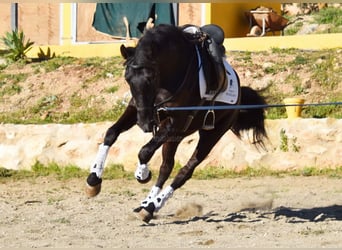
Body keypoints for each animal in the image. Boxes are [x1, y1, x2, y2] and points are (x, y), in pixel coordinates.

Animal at [85, 23, 268, 223]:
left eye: (150, 77)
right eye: (127, 78)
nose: (144, 124)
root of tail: (240, 92)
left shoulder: (175, 120)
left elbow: (144, 151)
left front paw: (142, 174)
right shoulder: (137, 109)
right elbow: (111, 133)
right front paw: (93, 180)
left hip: (210, 134)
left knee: (185, 171)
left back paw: (152, 205)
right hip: (177, 136)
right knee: (166, 167)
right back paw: (147, 205)